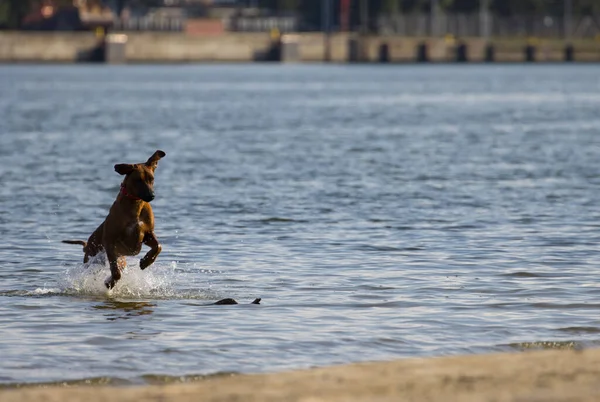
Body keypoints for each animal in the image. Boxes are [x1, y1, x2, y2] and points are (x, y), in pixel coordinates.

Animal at [63, 151, 166, 288]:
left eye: (152, 179)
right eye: (138, 180)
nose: (151, 196)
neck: (136, 204)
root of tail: (87, 244)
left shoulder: (147, 234)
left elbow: (158, 246)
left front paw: (146, 261)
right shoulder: (110, 242)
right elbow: (116, 272)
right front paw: (110, 282)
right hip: (93, 260)